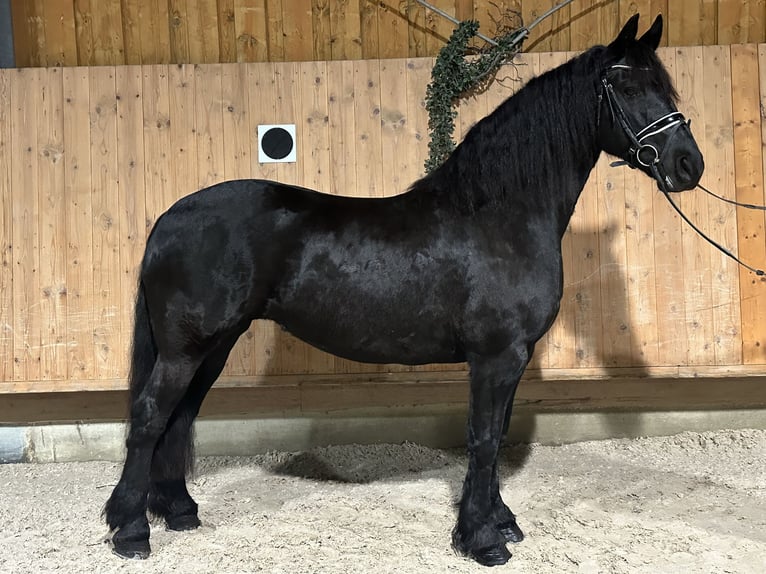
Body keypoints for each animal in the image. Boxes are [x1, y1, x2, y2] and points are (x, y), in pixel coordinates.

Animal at [104, 14, 703, 566]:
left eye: (664, 86)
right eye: (629, 88)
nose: (688, 164)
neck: (497, 215)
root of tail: (169, 218)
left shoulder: (513, 357)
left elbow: (498, 434)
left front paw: (500, 522)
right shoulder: (496, 356)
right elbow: (484, 439)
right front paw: (482, 539)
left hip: (214, 347)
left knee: (180, 417)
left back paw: (179, 511)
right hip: (188, 349)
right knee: (151, 416)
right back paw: (132, 531)